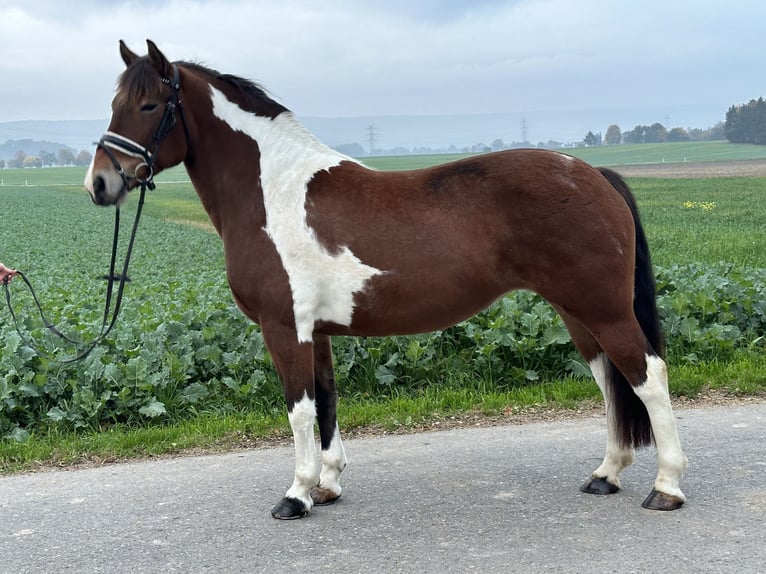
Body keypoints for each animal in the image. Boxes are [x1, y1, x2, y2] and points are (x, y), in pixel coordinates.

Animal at [85, 38, 688, 520]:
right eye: (113, 104)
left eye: (149, 104)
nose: (100, 184)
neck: (272, 191)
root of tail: (593, 174)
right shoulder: (317, 333)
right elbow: (326, 402)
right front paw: (327, 486)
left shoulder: (283, 329)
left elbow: (299, 409)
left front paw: (296, 495)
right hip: (577, 312)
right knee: (611, 381)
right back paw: (606, 475)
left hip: (603, 309)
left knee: (648, 376)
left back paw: (666, 487)